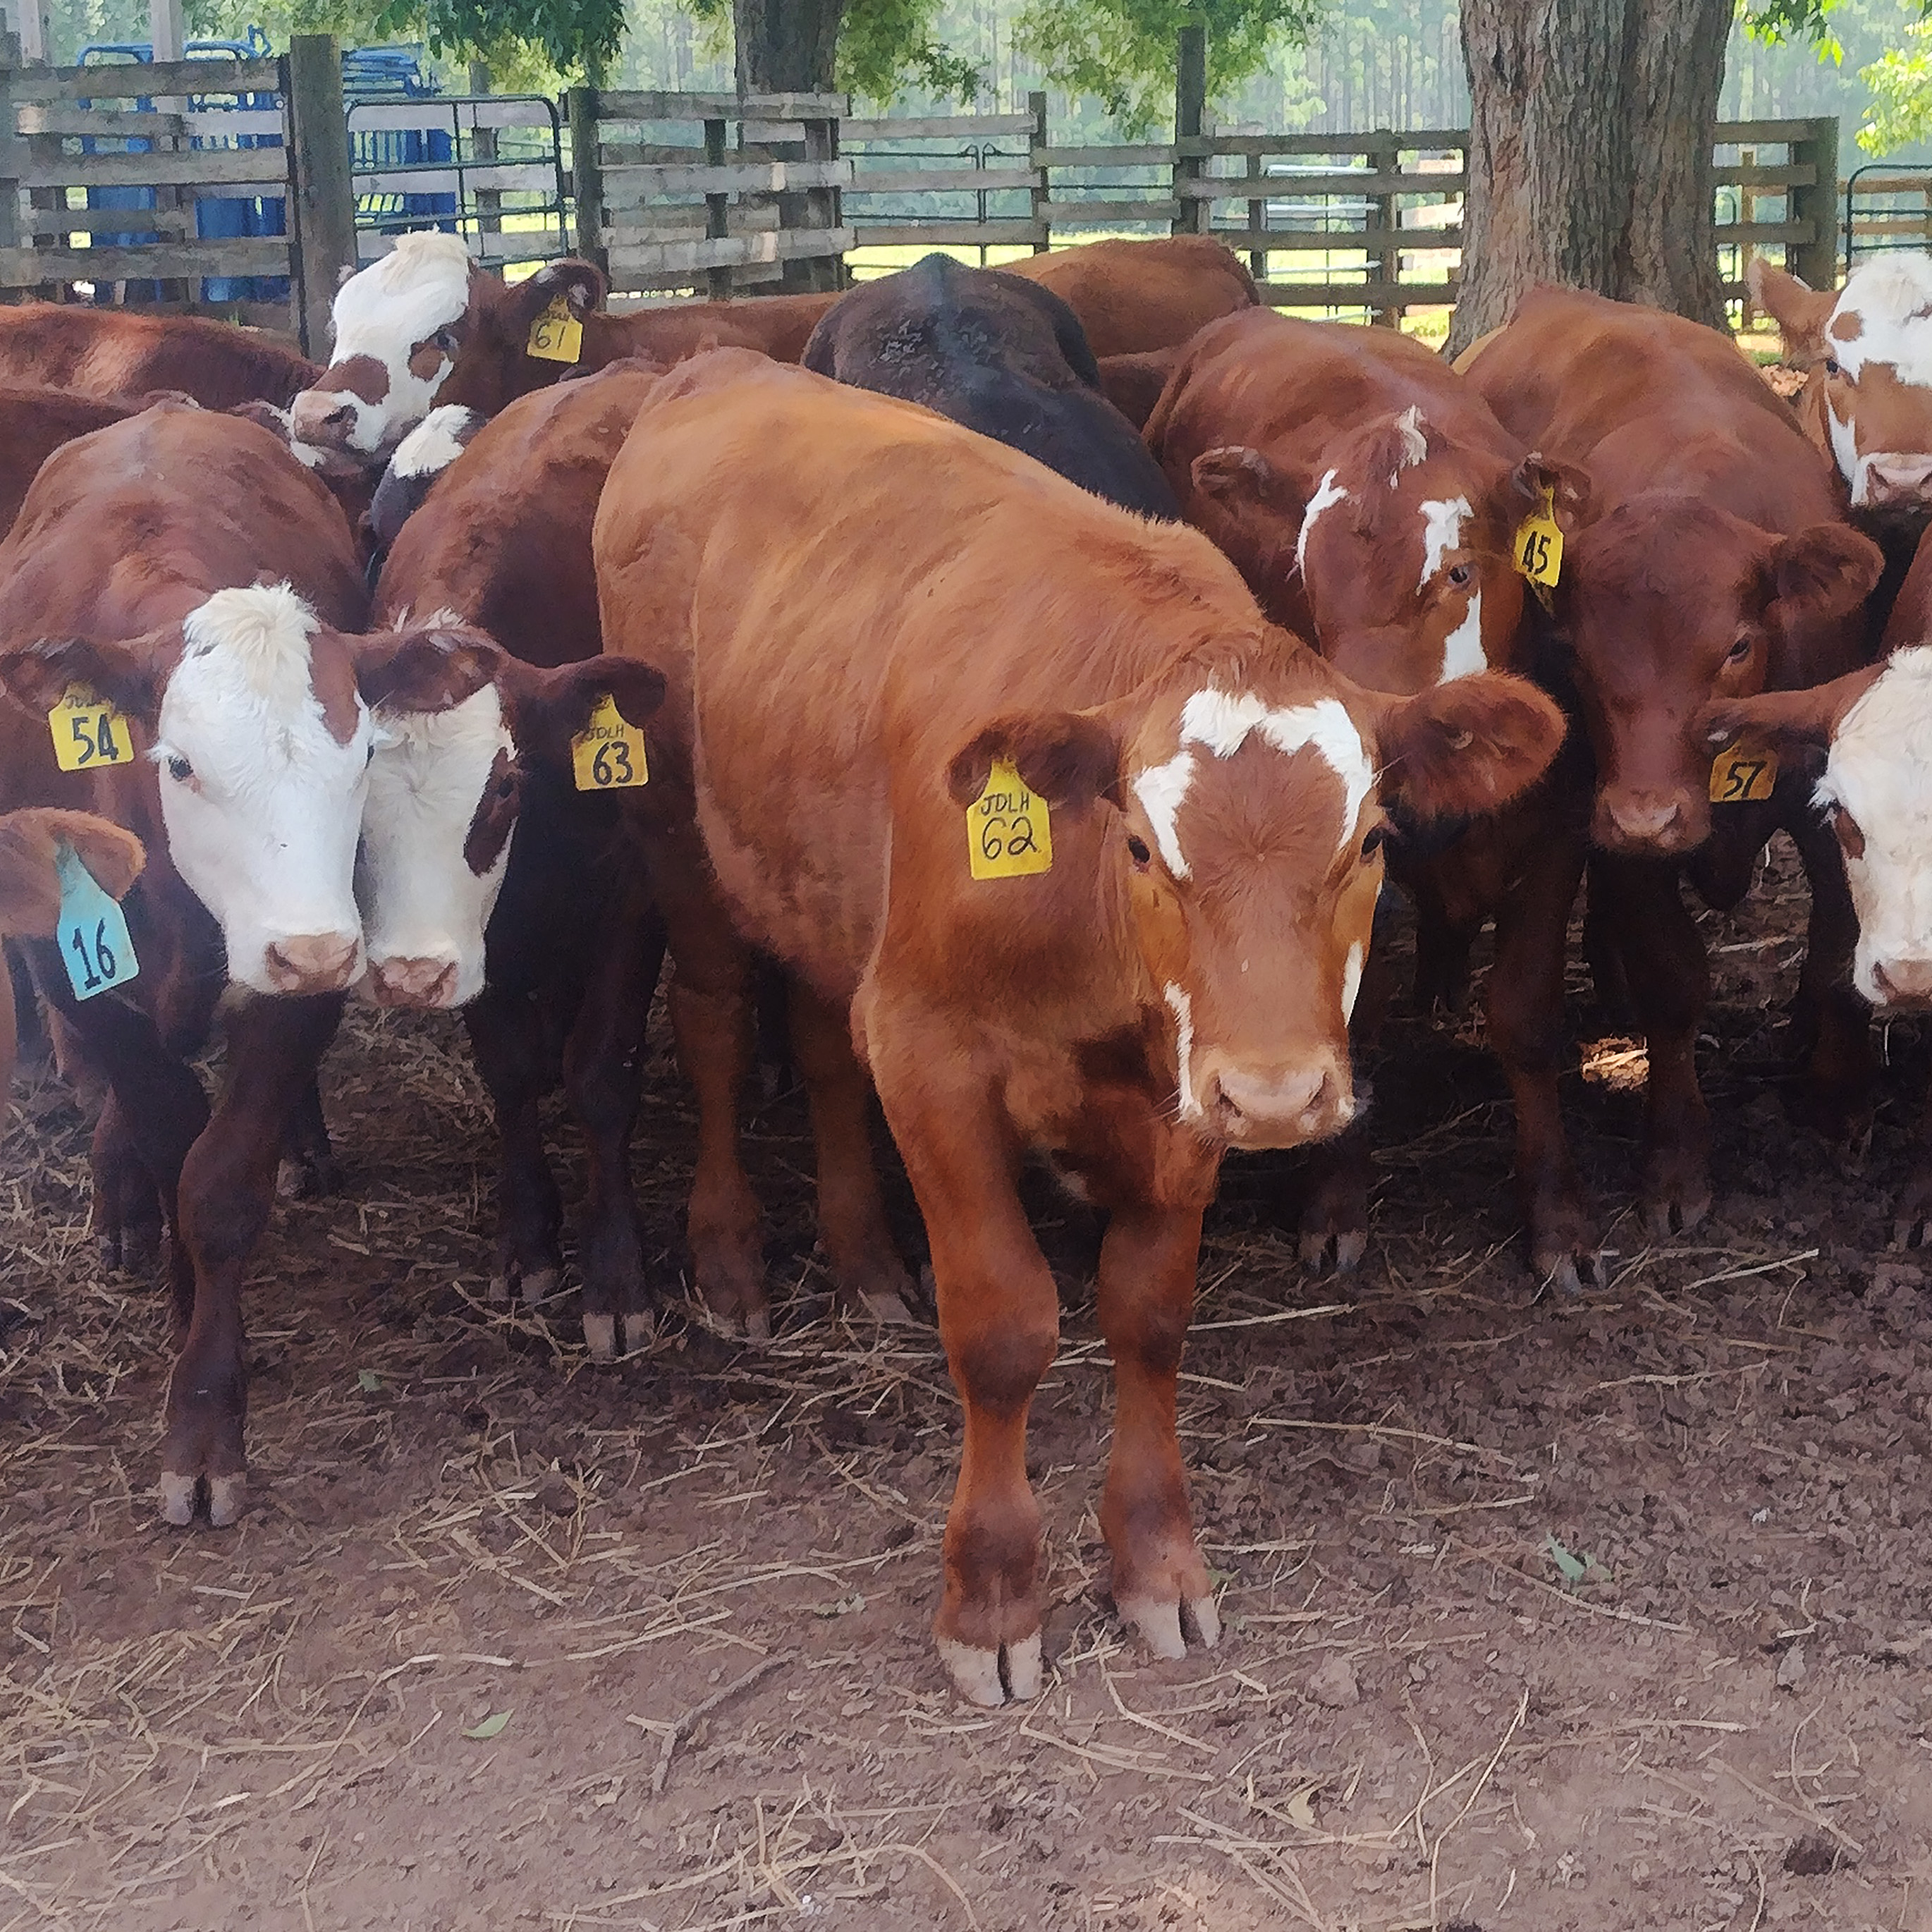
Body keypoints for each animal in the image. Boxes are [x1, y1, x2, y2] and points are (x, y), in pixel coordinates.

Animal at [591, 348, 1568, 1708]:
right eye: (1145, 846)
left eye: (1369, 839)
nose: (1282, 1096)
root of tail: (710, 363)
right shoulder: (934, 1056)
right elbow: (1005, 1328)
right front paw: (994, 1599)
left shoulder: (1189, 1090)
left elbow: (1148, 1318)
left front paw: (1157, 1564)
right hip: (677, 837)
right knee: (719, 1021)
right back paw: (731, 1256)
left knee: (824, 1041)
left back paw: (865, 1258)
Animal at [1468, 286, 1878, 1283]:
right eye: (1576, 652)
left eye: (1734, 645)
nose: (1647, 816)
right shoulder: (1613, 825)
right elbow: (1673, 978)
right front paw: (1676, 1162)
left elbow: (1839, 942)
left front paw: (1839, 1096)